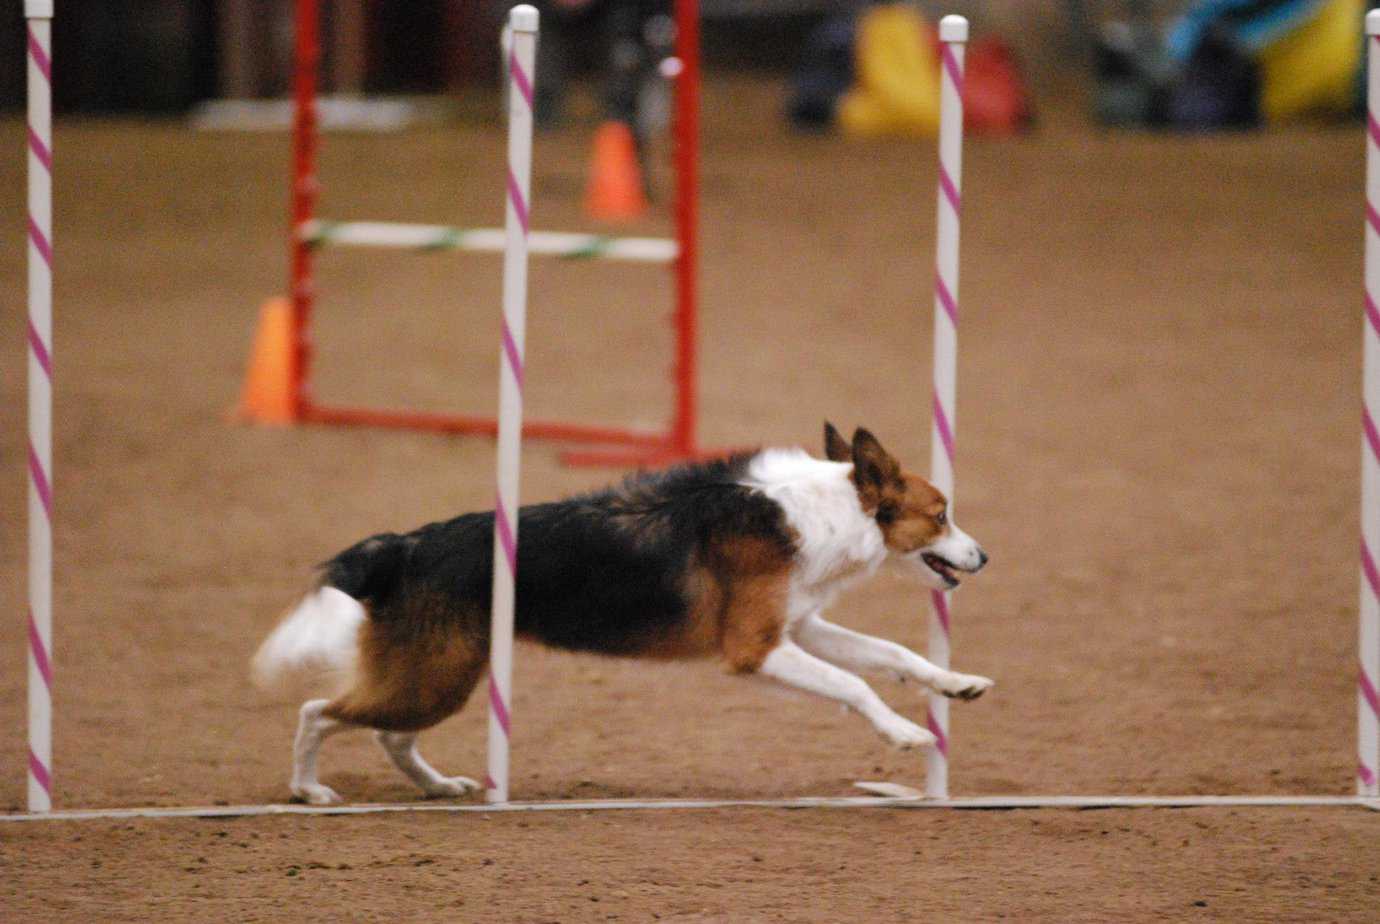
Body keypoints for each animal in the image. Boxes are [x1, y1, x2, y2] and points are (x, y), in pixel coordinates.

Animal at [251, 424, 993, 805]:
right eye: (942, 514)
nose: (984, 556)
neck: (825, 511)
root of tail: (404, 545)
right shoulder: (757, 647)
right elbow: (856, 684)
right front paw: (905, 733)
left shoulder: (799, 626)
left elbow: (893, 656)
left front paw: (957, 684)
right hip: (433, 677)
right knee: (318, 713)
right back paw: (308, 791)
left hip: (439, 676)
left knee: (388, 735)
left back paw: (438, 786)